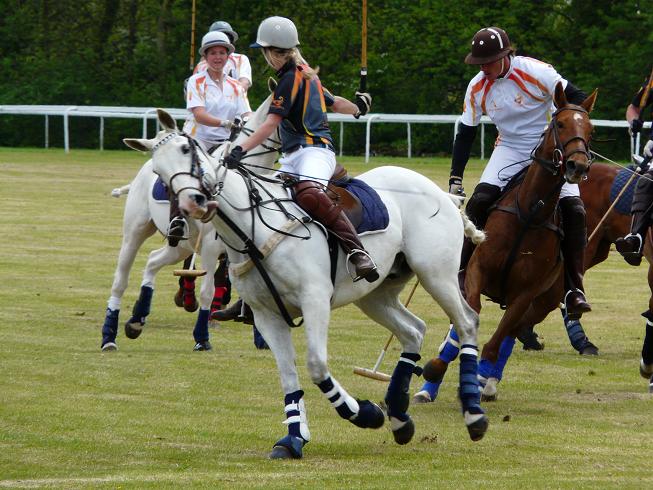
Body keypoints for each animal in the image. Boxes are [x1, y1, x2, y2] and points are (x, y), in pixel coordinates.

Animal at [125, 104, 486, 460]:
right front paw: (293, 438)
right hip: (375, 293)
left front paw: (364, 414)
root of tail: (441, 193)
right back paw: (399, 417)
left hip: (435, 272)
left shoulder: (314, 299)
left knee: (467, 322)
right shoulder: (266, 314)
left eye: (186, 150)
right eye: (158, 172)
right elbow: (288, 377)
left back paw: (473, 414)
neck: (251, 227)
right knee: (414, 330)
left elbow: (316, 365)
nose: (192, 204)